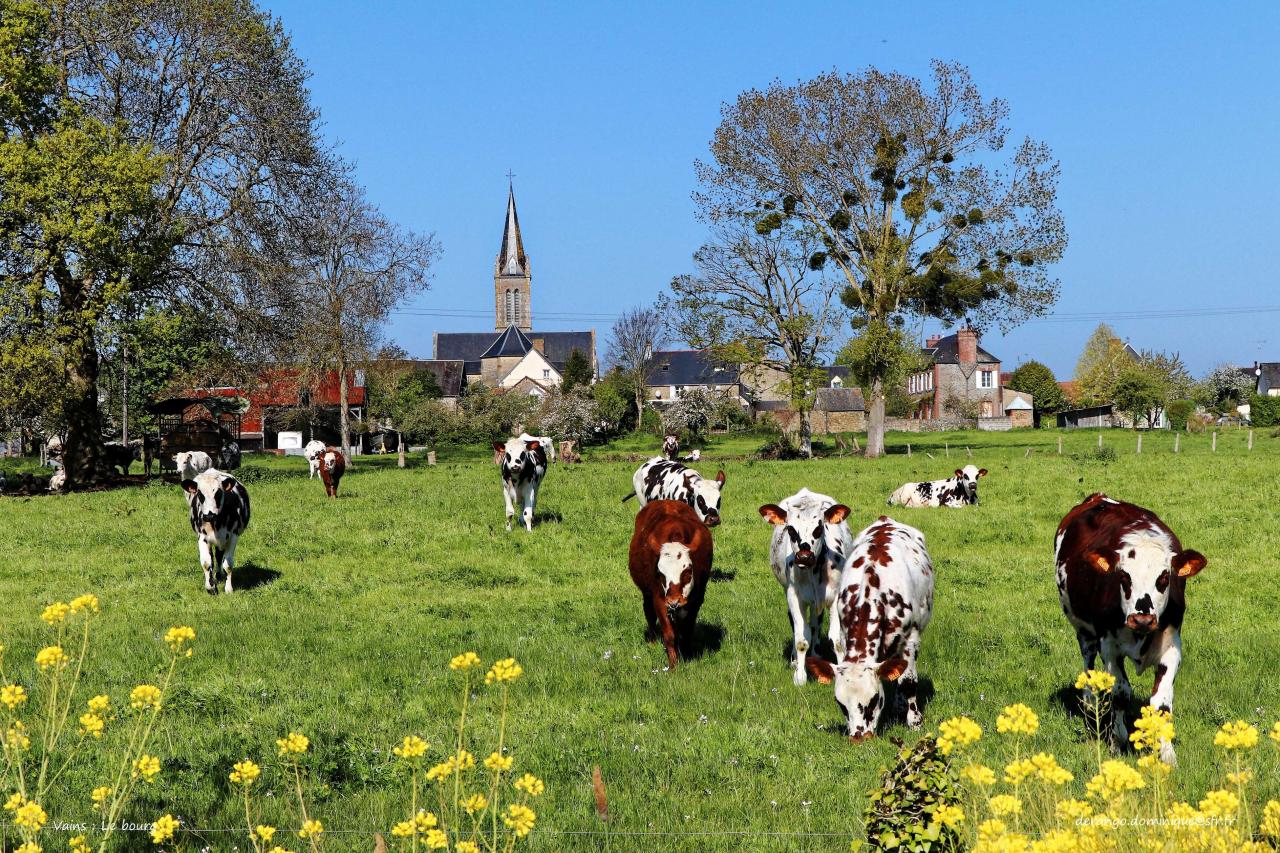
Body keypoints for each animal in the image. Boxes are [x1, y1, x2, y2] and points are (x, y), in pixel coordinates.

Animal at [632, 499, 721, 671]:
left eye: (687, 571)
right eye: (660, 573)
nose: (674, 601)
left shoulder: (696, 600)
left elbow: (687, 630)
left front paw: (687, 654)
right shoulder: (660, 599)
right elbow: (669, 634)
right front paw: (673, 664)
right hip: (647, 593)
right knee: (649, 613)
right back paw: (652, 641)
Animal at [752, 489, 855, 681]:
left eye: (819, 528)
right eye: (790, 529)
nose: (804, 556)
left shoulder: (835, 596)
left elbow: (837, 640)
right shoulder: (795, 596)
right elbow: (801, 638)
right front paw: (800, 675)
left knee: (815, 622)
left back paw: (815, 653)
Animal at [814, 514, 936, 742]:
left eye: (873, 700)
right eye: (841, 705)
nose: (858, 737)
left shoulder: (911, 639)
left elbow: (908, 681)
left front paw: (914, 722)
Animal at [1054, 491, 1203, 763]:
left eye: (1164, 578)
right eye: (1124, 577)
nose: (1141, 619)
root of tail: (1098, 497)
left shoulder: (1172, 647)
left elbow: (1161, 703)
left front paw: (1167, 753)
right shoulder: (1109, 648)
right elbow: (1121, 693)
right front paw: (1118, 740)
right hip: (1083, 631)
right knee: (1088, 664)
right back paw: (1089, 702)